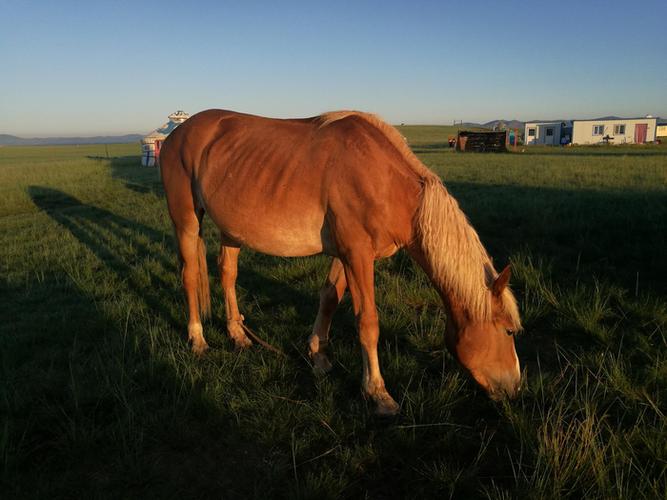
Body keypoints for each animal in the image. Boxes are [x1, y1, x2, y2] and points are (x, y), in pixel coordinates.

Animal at [159, 109, 522, 416]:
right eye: (508, 331)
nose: (515, 389)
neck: (384, 180)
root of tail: (178, 132)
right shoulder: (357, 254)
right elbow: (368, 323)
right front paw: (377, 393)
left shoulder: (347, 255)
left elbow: (330, 298)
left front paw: (318, 354)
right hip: (187, 221)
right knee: (190, 275)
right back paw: (198, 340)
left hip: (233, 229)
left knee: (228, 273)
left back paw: (238, 335)